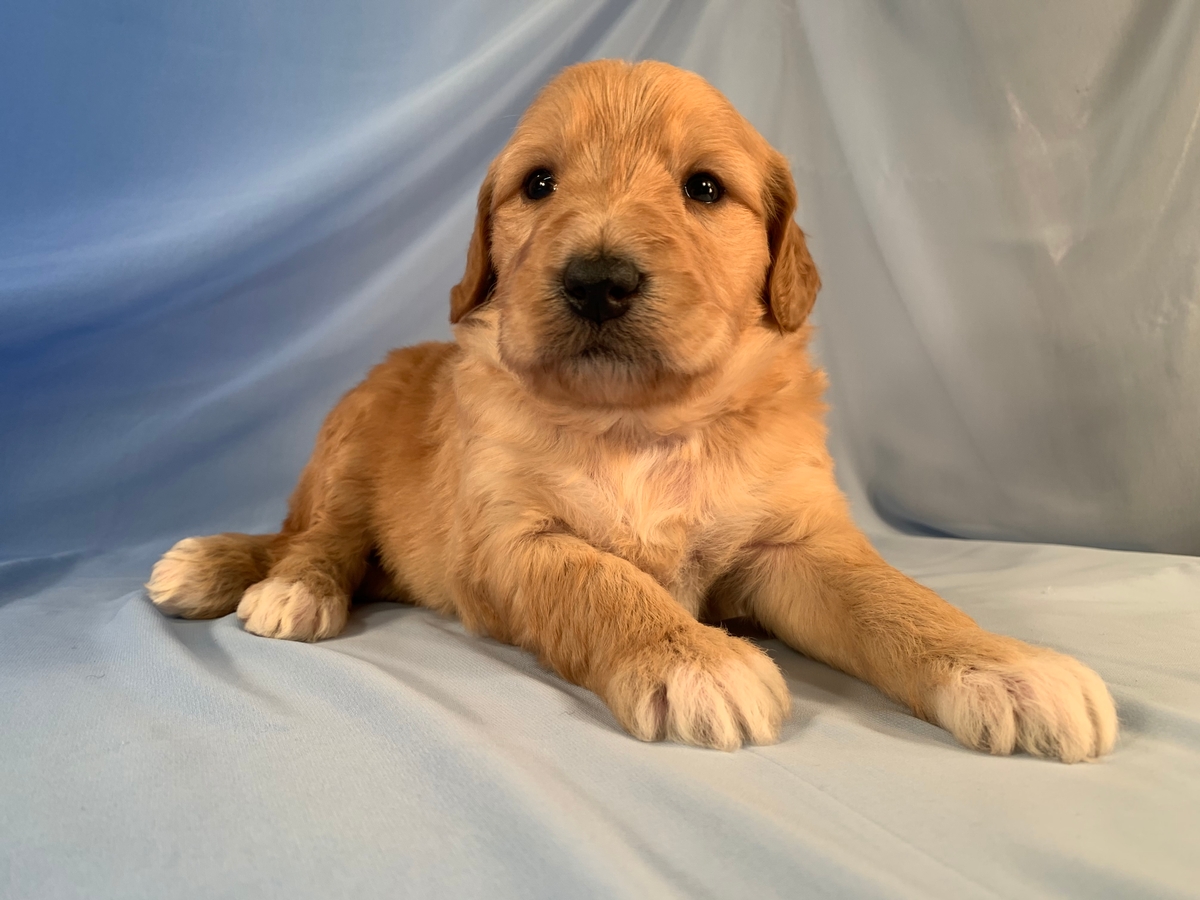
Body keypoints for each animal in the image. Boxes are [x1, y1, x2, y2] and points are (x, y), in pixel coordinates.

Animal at [147, 60, 1113, 763]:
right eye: (538, 184)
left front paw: (1008, 667)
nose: (598, 280)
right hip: (350, 440)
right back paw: (273, 583)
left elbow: (895, 597)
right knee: (320, 536)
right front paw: (696, 660)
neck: (638, 424)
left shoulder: (793, 540)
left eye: (705, 188)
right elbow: (603, 582)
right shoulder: (509, 540)